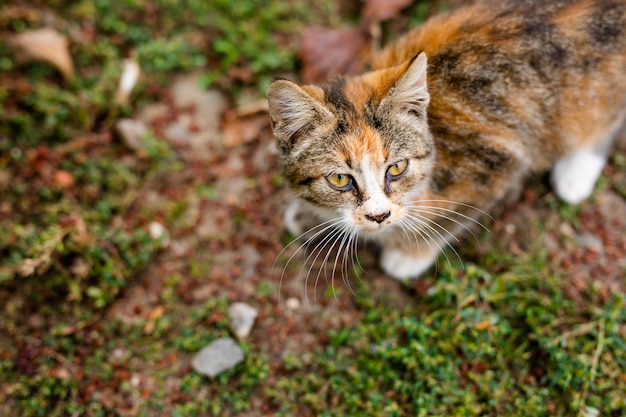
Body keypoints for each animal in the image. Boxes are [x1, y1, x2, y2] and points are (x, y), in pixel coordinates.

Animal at [264, 0, 624, 280]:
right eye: (339, 179)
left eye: (397, 168)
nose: (379, 216)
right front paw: (313, 218)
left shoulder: (496, 163)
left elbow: (452, 217)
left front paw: (410, 253)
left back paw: (576, 172)